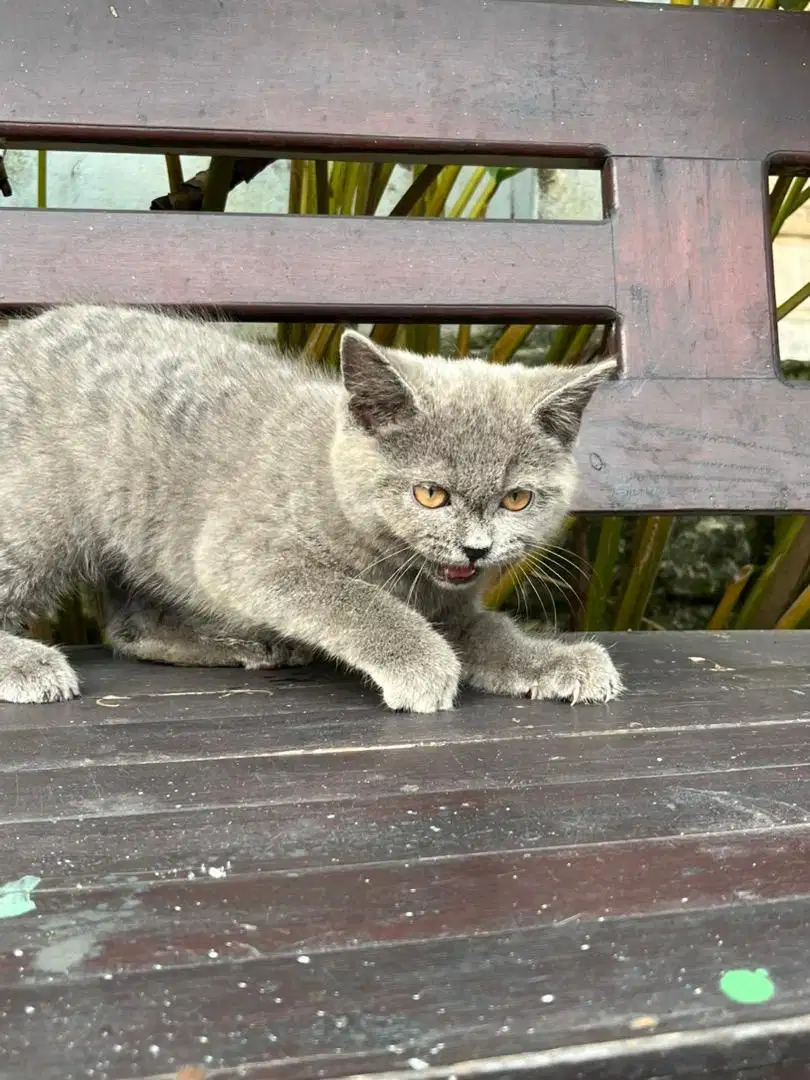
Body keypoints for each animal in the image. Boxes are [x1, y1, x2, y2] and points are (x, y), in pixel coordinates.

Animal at [0, 304, 626, 708]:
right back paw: (27, 664)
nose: (477, 548)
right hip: (42, 511)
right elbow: (353, 599)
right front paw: (421, 662)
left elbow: (490, 633)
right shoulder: (244, 554)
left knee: (131, 629)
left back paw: (238, 644)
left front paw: (554, 661)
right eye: (430, 494)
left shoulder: (453, 605)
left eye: (517, 499)